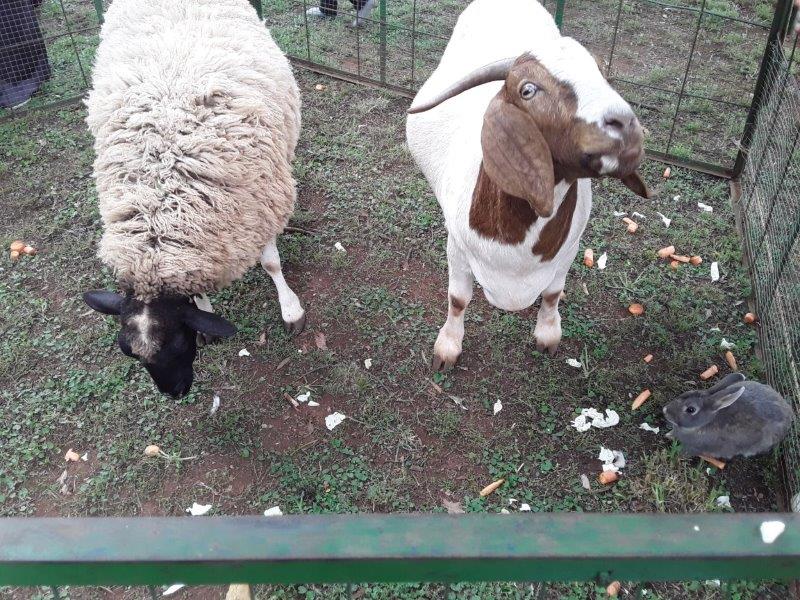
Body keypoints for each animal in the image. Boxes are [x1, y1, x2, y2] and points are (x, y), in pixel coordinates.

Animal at [82, 0, 306, 397]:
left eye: (177, 343)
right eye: (129, 354)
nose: (175, 393)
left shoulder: (262, 203)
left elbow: (271, 265)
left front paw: (291, 310)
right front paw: (206, 311)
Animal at [406, 0, 650, 370]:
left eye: (602, 74)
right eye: (528, 90)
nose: (625, 125)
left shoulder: (570, 249)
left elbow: (552, 293)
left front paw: (548, 336)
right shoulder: (457, 247)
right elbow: (458, 298)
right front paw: (447, 348)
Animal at [663, 373, 794, 459]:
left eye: (691, 409)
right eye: (686, 393)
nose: (665, 411)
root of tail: (789, 412)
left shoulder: (697, 448)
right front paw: (668, 435)